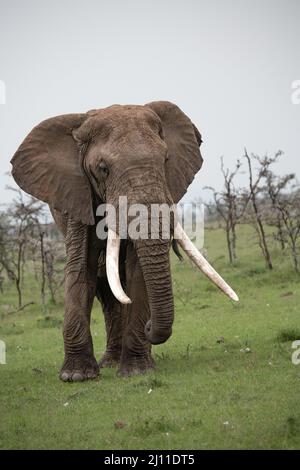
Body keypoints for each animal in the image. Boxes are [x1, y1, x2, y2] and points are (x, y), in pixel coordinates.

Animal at [10, 101, 238, 380]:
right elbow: (80, 267)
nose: (150, 328)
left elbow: (136, 270)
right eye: (103, 169)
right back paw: (109, 363)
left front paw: (137, 371)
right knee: (106, 288)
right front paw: (76, 376)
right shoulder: (78, 193)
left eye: (166, 160)